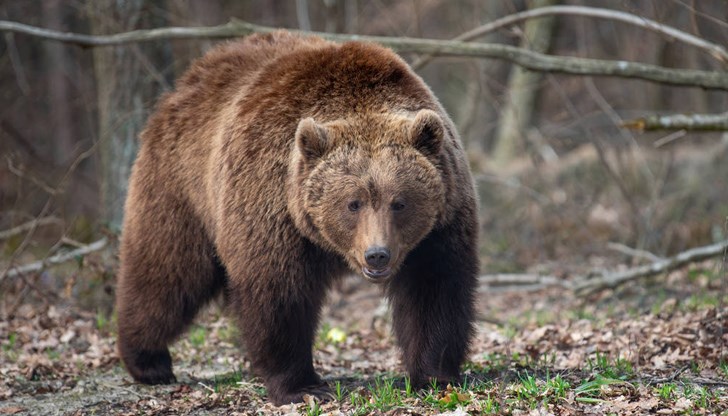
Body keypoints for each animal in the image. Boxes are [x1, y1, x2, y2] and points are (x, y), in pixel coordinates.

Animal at [115, 30, 478, 406]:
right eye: (353, 203)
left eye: (400, 202)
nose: (377, 254)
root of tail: (189, 78)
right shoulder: (273, 207)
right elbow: (279, 295)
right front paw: (301, 385)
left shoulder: (439, 224)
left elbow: (433, 290)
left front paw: (434, 375)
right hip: (182, 188)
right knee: (168, 271)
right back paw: (149, 361)